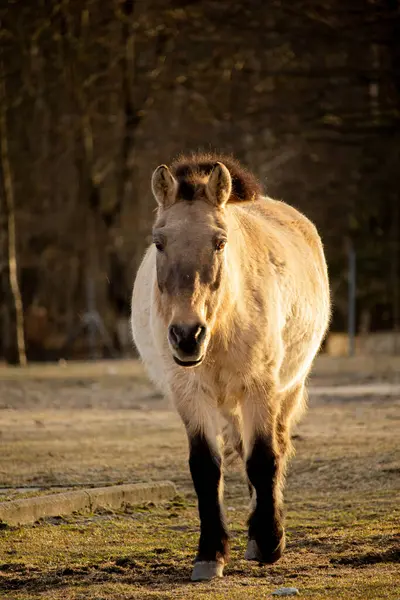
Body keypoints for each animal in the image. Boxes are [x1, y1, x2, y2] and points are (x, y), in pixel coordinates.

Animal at [131, 154, 332, 580]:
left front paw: (269, 542)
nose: (187, 335)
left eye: (219, 242)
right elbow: (207, 468)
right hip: (227, 403)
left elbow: (264, 458)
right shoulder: (190, 394)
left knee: (275, 446)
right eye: (159, 242)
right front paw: (210, 555)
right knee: (239, 446)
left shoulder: (261, 387)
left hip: (287, 388)